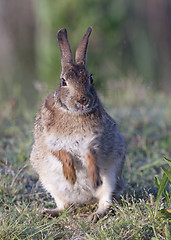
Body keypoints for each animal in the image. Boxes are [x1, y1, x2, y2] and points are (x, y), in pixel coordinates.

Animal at [29, 27, 125, 222]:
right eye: (63, 81)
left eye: (91, 79)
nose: (82, 100)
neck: (73, 114)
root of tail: (85, 200)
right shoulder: (50, 142)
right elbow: (63, 154)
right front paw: (71, 177)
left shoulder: (94, 140)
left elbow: (91, 156)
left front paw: (93, 177)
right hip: (48, 181)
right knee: (65, 206)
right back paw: (49, 212)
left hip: (111, 176)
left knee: (105, 200)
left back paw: (96, 215)